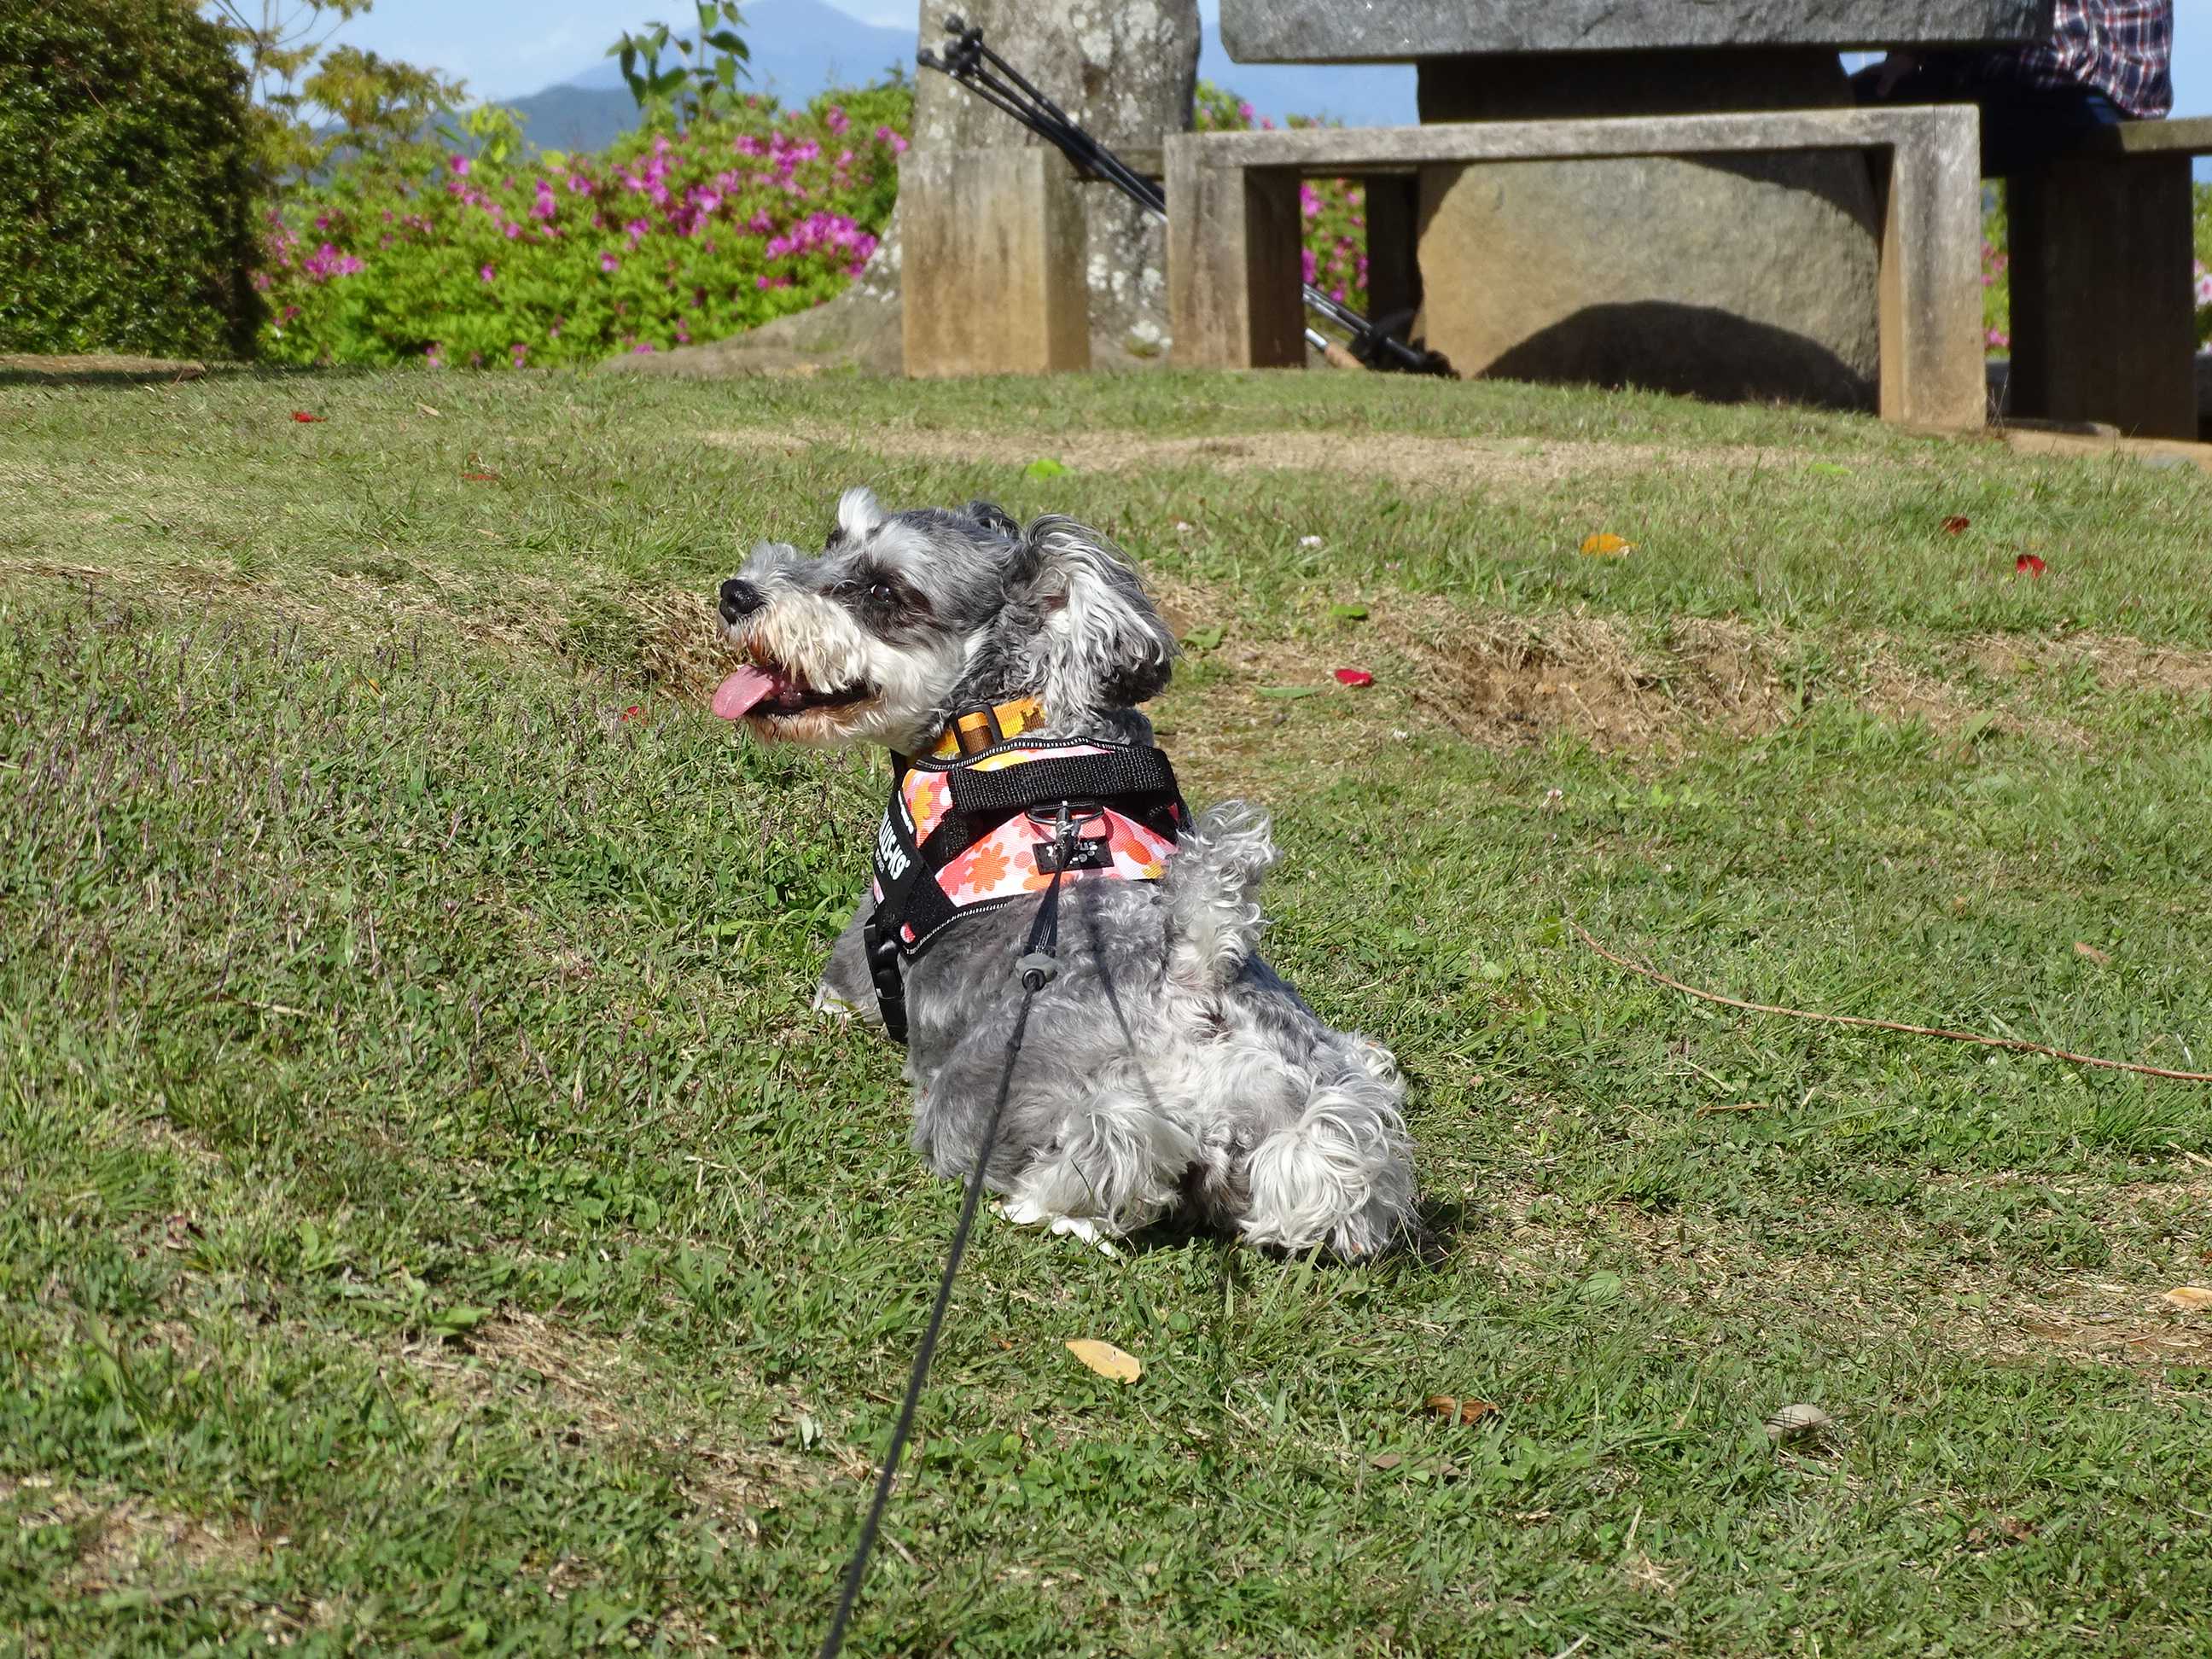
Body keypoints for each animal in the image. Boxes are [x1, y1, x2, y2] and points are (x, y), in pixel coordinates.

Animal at [711, 489, 1417, 1258]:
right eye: (835, 538)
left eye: (883, 591)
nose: (736, 592)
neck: (1007, 719)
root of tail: (1196, 980)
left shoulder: (870, 934)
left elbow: (841, 990)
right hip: (1329, 1107)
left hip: (984, 1095)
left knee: (1103, 1153)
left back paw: (1048, 1207)